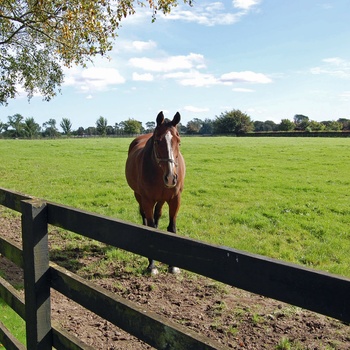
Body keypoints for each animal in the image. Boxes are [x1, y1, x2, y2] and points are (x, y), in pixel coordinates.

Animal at [126, 110, 186, 274]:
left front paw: (173, 266)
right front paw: (151, 265)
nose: (171, 177)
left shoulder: (175, 199)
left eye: (178, 141)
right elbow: (150, 228)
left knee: (157, 216)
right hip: (139, 196)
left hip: (161, 200)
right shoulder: (147, 200)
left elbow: (171, 229)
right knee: (146, 218)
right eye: (158, 141)